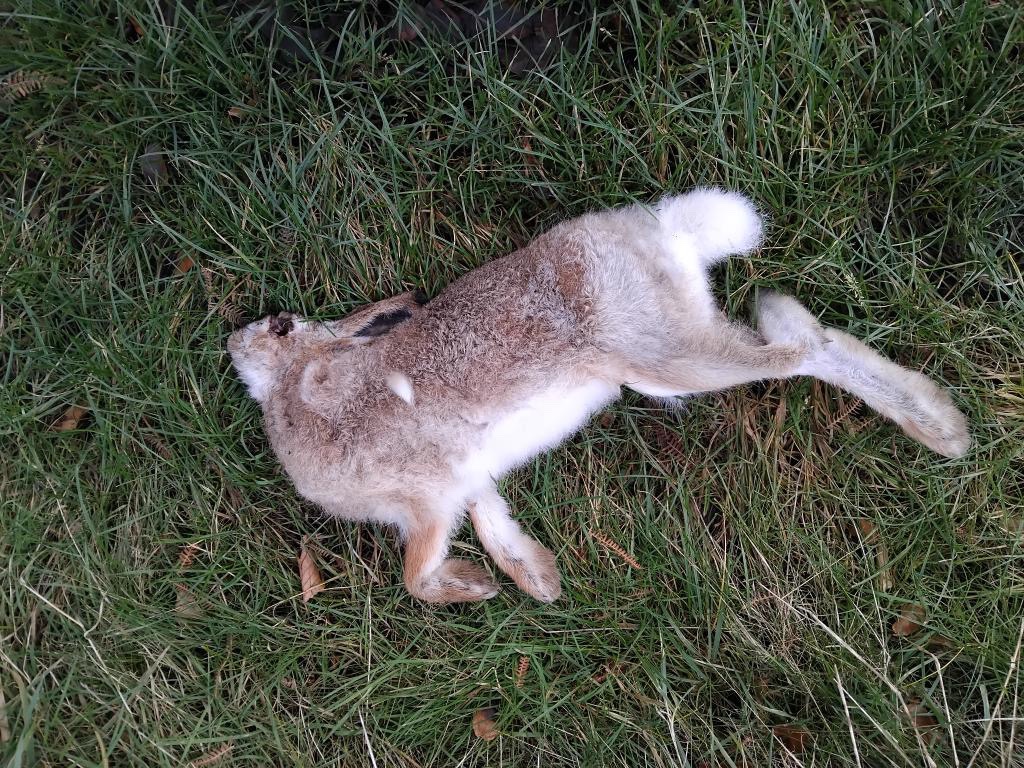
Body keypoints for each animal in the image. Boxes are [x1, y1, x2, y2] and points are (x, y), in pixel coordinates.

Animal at [227, 188, 970, 604]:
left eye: (280, 326)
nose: (232, 343)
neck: (307, 389)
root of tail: (661, 231)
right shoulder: (466, 481)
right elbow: (493, 523)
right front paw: (536, 581)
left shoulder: (428, 499)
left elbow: (416, 577)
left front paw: (475, 588)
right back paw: (944, 428)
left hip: (662, 357)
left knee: (801, 350)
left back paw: (935, 424)